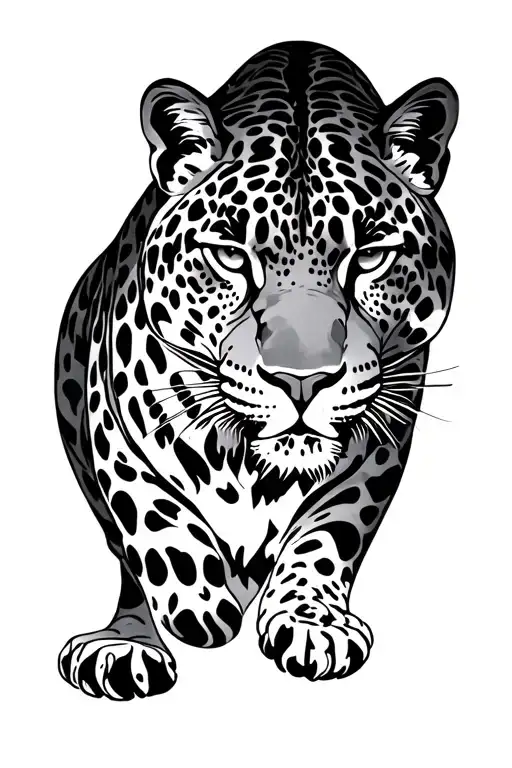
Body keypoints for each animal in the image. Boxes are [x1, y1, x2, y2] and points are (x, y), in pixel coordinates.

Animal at [55, 40, 458, 699]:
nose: (302, 379)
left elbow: (330, 528)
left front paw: (311, 623)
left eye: (371, 255)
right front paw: (199, 604)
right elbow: (147, 508)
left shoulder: (382, 436)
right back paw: (128, 642)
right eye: (229, 255)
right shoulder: (109, 412)